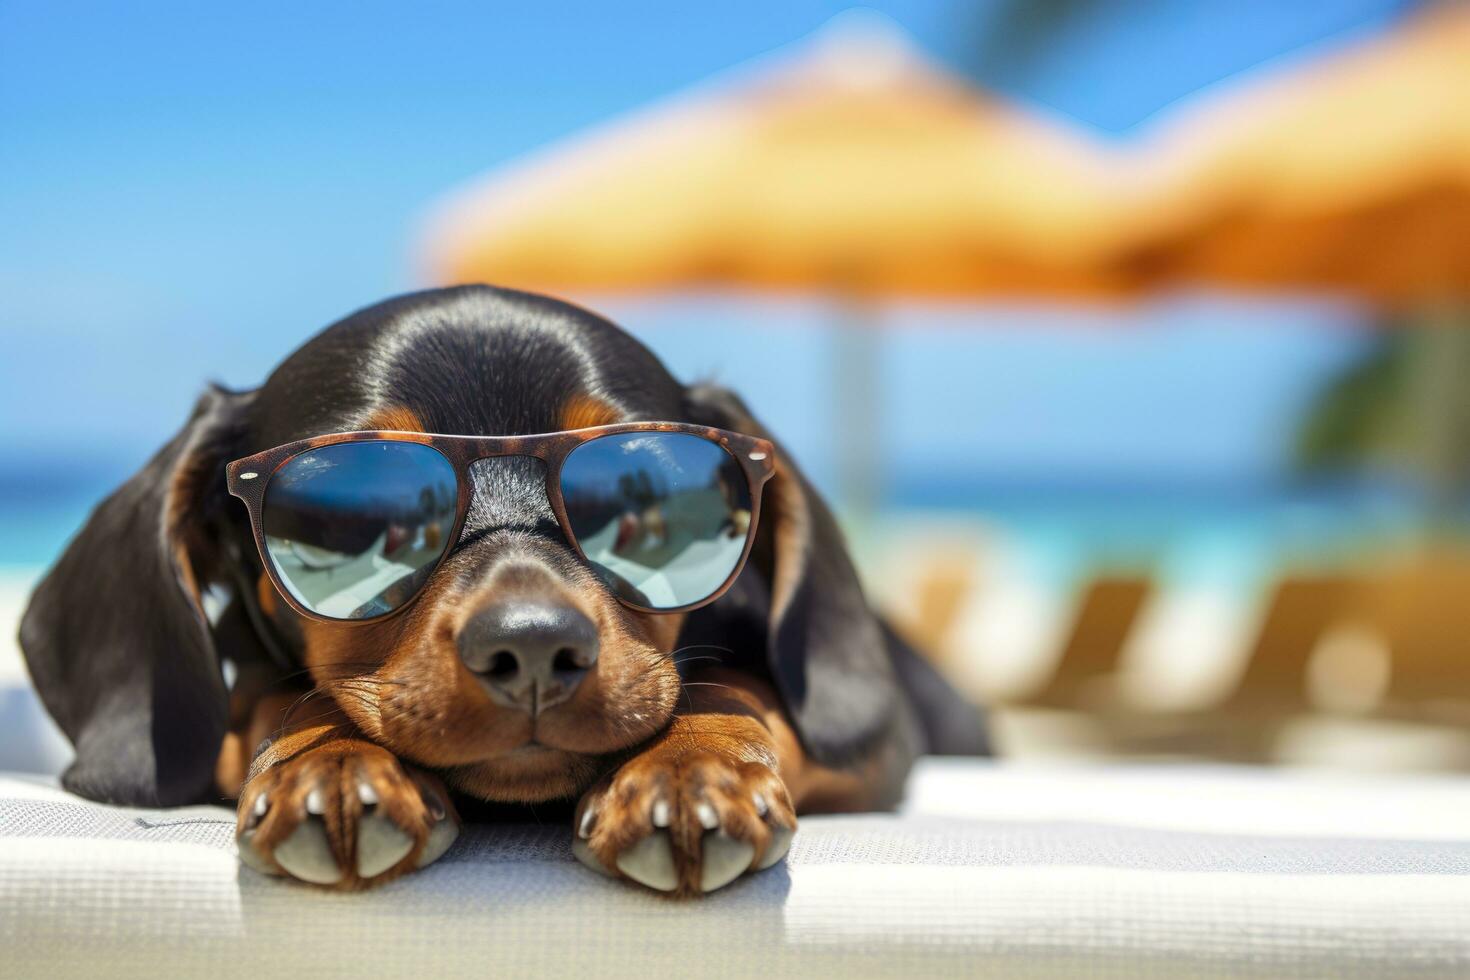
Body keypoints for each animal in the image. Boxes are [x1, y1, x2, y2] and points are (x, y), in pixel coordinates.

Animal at [20, 283, 987, 899]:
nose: (530, 647)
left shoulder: (877, 744)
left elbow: (731, 684)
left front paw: (688, 764)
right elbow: (275, 697)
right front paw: (330, 760)